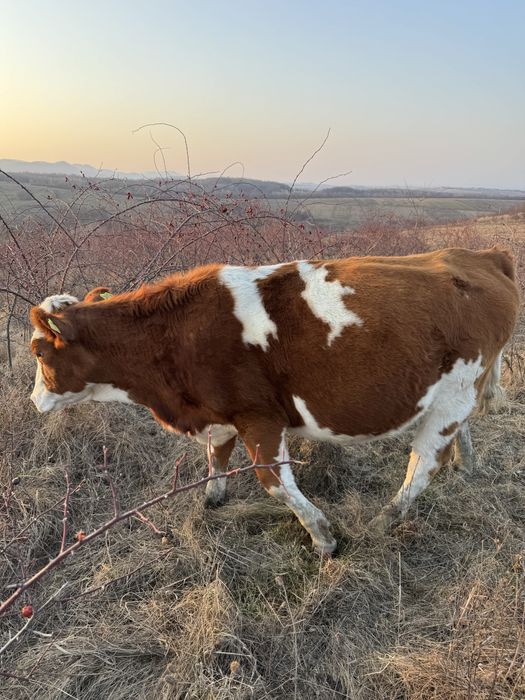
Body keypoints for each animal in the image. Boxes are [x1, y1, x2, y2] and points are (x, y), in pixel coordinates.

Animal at [29, 247, 520, 553]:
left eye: (37, 352)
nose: (34, 401)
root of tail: (481, 255)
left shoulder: (259, 416)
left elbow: (272, 479)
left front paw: (323, 537)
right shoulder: (220, 413)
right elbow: (217, 455)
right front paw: (212, 497)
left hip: (454, 394)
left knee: (424, 462)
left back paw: (386, 519)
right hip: (456, 391)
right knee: (458, 435)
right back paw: (467, 466)